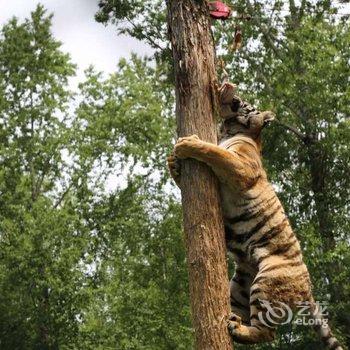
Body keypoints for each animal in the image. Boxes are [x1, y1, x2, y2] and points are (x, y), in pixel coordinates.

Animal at [167, 82, 344, 350]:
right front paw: (173, 161)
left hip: (267, 281)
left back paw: (239, 329)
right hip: (240, 286)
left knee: (268, 333)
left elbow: (214, 152)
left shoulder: (240, 166)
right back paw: (232, 323)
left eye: (245, 103)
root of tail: (308, 289)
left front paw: (189, 143)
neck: (229, 131)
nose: (234, 94)